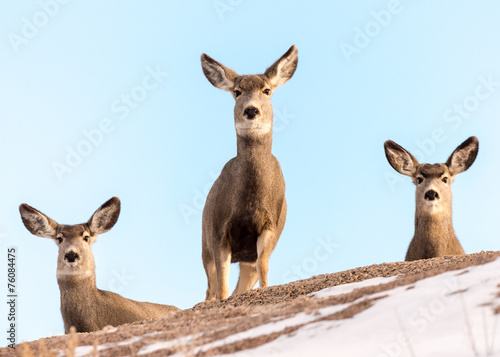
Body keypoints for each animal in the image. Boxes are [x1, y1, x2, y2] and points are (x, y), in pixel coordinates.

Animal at [199, 45, 296, 300]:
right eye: (237, 92)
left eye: (267, 90)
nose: (251, 110)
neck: (249, 201)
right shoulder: (218, 230)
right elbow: (221, 286)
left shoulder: (269, 226)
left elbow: (263, 268)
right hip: (204, 243)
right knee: (210, 288)